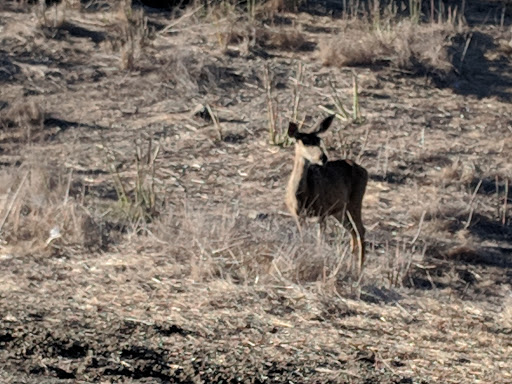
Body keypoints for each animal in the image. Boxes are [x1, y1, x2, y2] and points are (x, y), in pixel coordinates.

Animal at [284, 114, 368, 272]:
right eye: (304, 142)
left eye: (319, 140)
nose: (323, 157)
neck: (302, 197)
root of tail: (364, 170)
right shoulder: (298, 216)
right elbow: (303, 240)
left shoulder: (321, 213)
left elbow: (320, 242)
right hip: (339, 210)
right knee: (352, 230)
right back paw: (350, 265)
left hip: (355, 200)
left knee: (360, 230)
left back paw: (360, 269)